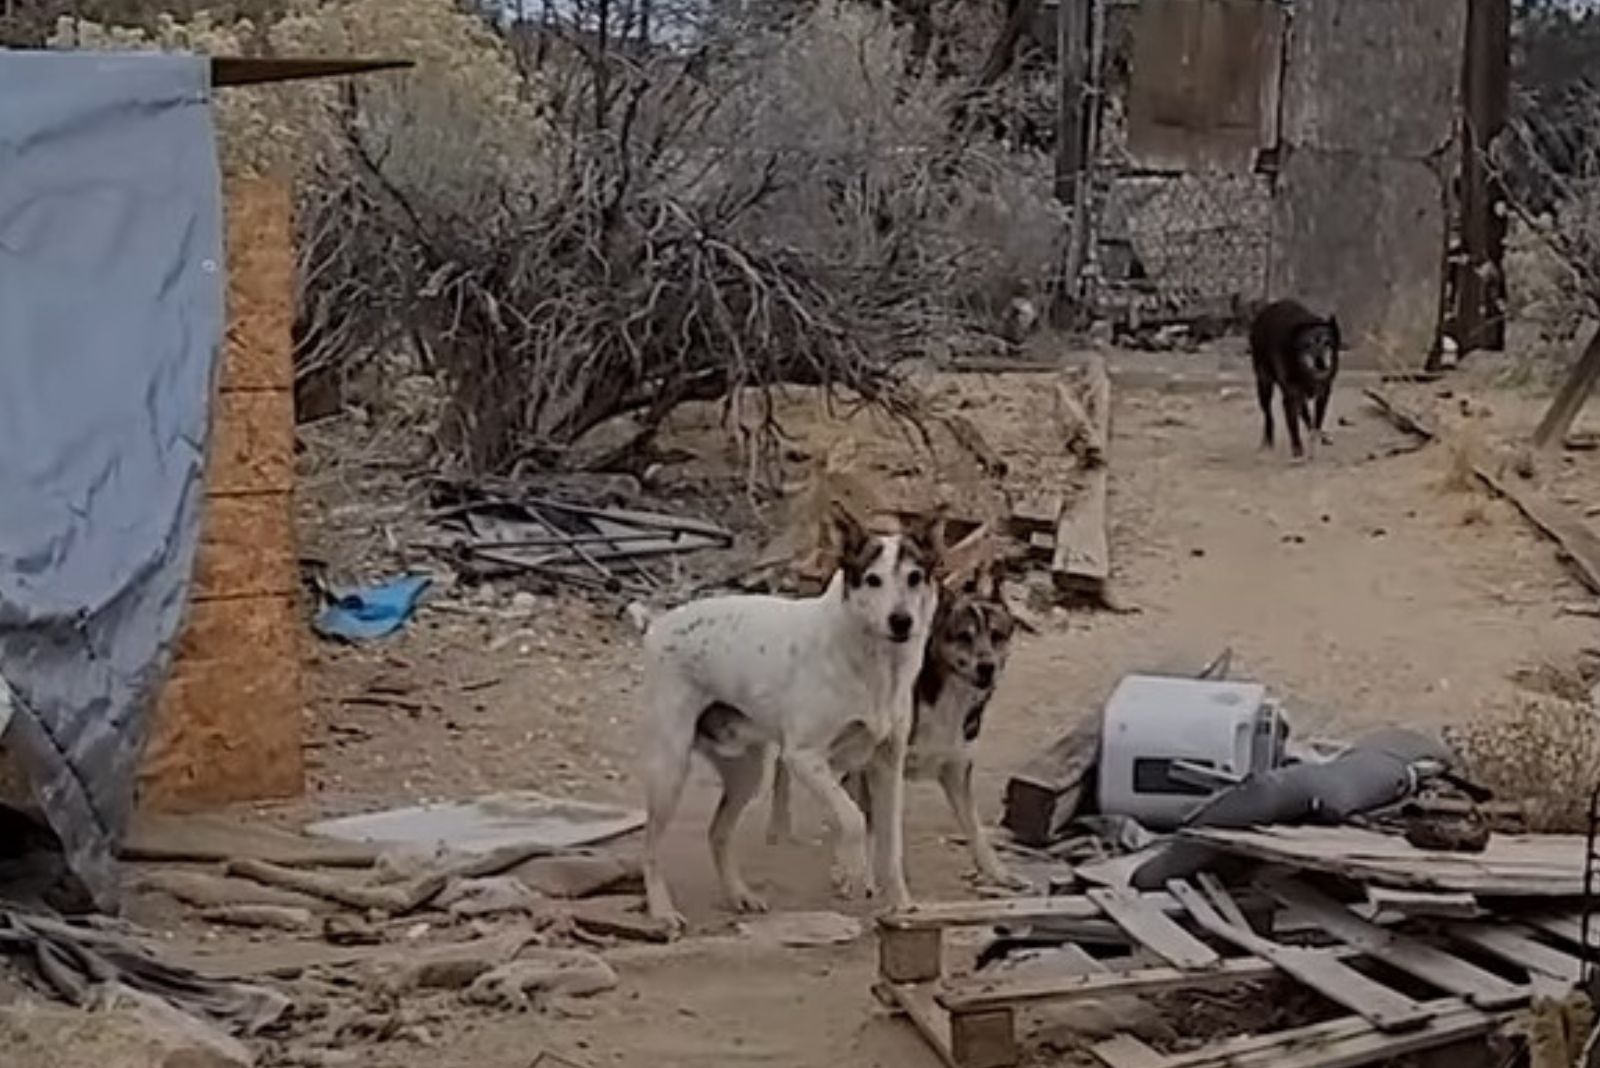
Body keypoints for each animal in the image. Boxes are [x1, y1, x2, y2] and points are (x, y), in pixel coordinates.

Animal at [633, 505, 940, 927]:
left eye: (914, 577)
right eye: (872, 580)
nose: (901, 621)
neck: (874, 662)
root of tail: (657, 624)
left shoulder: (886, 764)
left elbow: (890, 844)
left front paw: (901, 904)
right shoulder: (803, 757)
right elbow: (852, 819)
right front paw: (854, 872)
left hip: (746, 773)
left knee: (718, 833)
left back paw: (739, 895)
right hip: (670, 769)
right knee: (649, 848)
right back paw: (662, 910)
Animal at [1248, 298, 1337, 460]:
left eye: (1328, 343)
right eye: (1306, 345)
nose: (1320, 363)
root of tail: (1264, 311)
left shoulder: (1323, 395)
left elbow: (1317, 421)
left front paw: (1316, 438)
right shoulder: (1289, 398)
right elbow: (1293, 426)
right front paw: (1297, 449)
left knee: (1305, 414)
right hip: (1264, 385)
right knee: (1268, 415)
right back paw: (1268, 440)